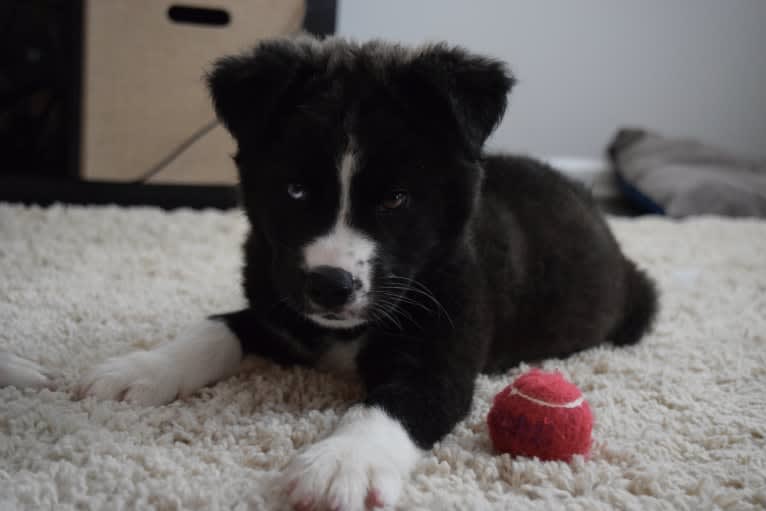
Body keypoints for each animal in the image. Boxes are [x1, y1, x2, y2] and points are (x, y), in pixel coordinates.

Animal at [1, 37, 660, 511]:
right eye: (295, 190)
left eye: (396, 199)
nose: (330, 287)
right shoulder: (275, 302)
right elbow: (212, 327)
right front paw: (139, 370)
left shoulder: (441, 356)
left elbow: (391, 405)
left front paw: (344, 464)